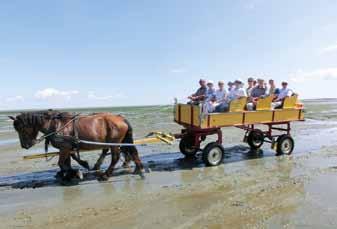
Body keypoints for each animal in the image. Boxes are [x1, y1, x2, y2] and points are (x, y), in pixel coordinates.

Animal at [9, 110, 143, 182]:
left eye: (21, 128)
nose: (25, 145)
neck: (55, 125)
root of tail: (121, 118)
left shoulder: (64, 148)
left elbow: (62, 163)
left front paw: (74, 173)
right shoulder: (66, 148)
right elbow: (67, 162)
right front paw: (70, 173)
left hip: (114, 143)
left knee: (115, 157)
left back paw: (106, 175)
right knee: (131, 151)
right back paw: (138, 168)